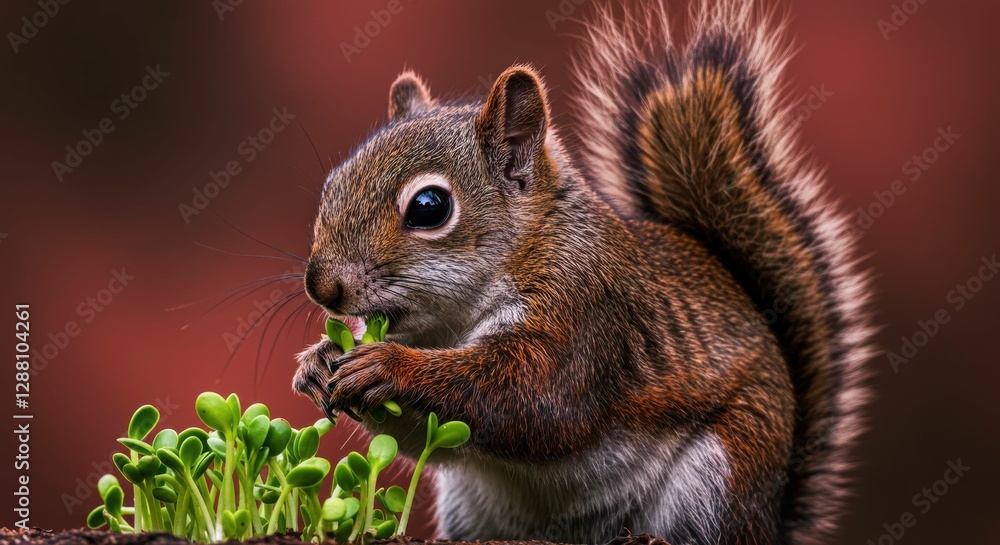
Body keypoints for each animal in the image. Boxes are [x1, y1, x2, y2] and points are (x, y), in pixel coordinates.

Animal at [293, 2, 872, 544]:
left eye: (429, 207)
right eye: (333, 182)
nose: (322, 286)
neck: (455, 320)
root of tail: (773, 518)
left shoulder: (584, 310)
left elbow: (531, 399)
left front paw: (388, 365)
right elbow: (427, 440)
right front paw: (318, 362)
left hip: (723, 470)